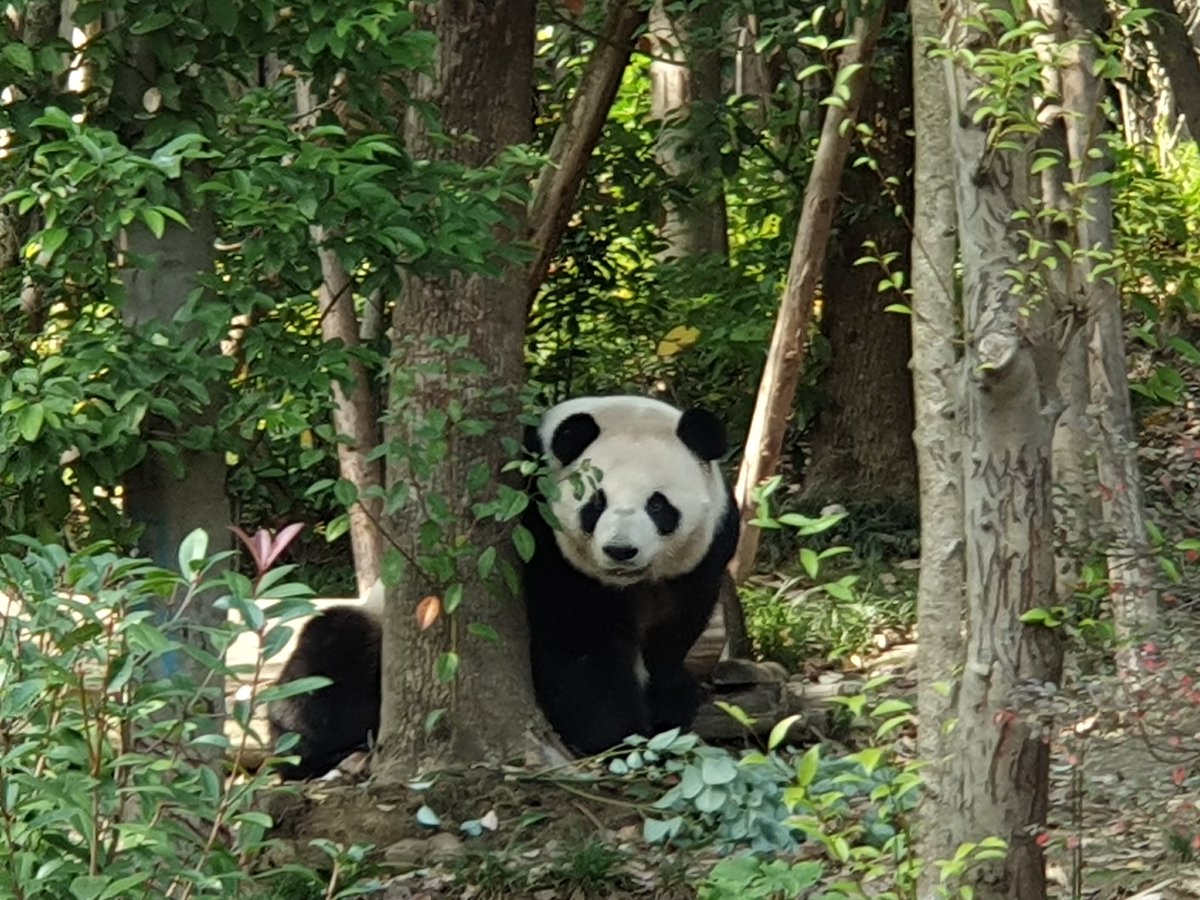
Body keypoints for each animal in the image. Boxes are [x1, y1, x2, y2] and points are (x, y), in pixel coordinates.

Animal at [520, 393, 734, 753]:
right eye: (596, 503)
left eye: (657, 505)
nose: (620, 550)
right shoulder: (547, 541)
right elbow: (581, 640)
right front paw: (615, 734)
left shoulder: (706, 555)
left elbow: (675, 631)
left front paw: (670, 705)